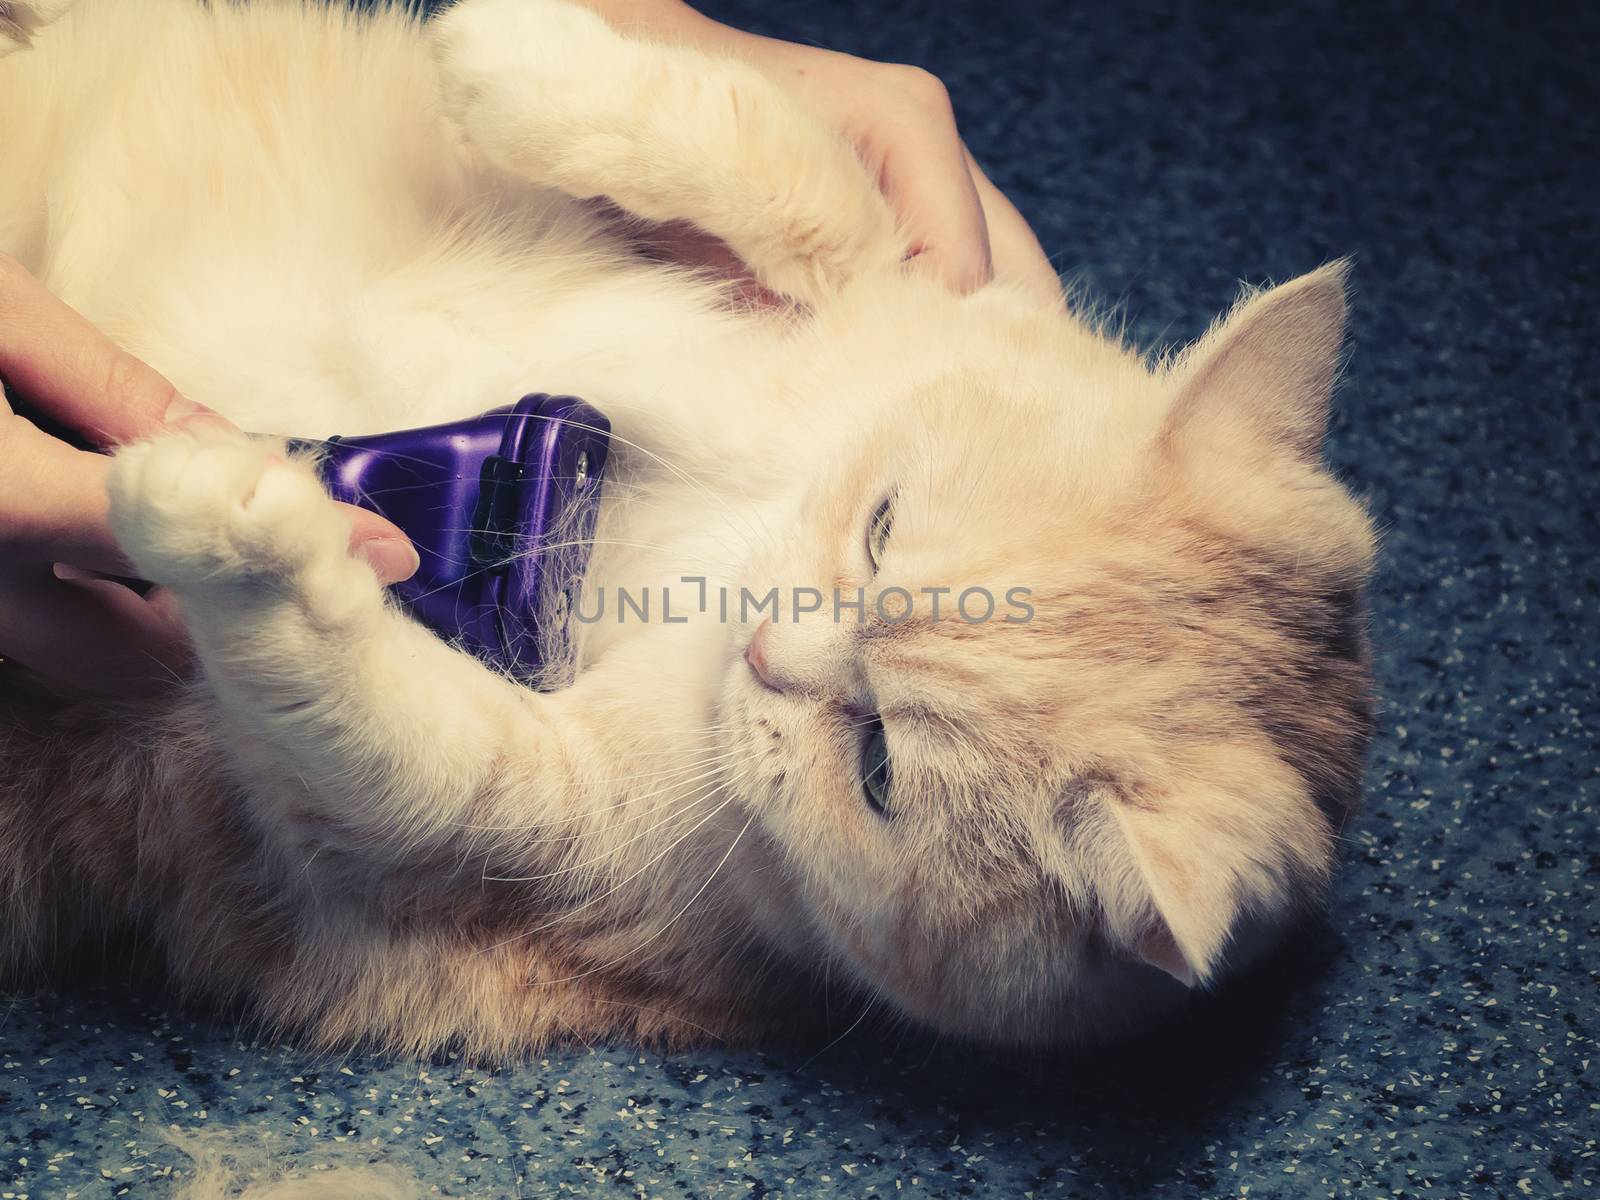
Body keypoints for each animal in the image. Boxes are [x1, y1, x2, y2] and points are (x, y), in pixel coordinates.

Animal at [0, 0, 1376, 1049]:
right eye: (882, 528)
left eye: (879, 767)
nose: (766, 646)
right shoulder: (858, 278)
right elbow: (779, 164)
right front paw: (516, 53)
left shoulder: (495, 811)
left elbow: (365, 695)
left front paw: (242, 528)